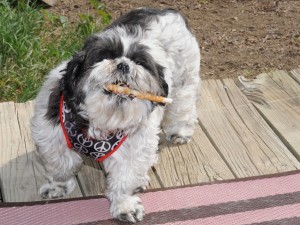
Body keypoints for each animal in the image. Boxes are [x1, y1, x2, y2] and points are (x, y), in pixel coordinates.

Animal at [30, 7, 200, 223]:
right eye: (104, 56)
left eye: (140, 62)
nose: (124, 64)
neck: (102, 120)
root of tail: (166, 10)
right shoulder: (52, 135)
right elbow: (61, 164)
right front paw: (58, 185)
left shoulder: (133, 148)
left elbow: (125, 179)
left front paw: (125, 205)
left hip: (184, 81)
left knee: (183, 107)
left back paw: (179, 132)